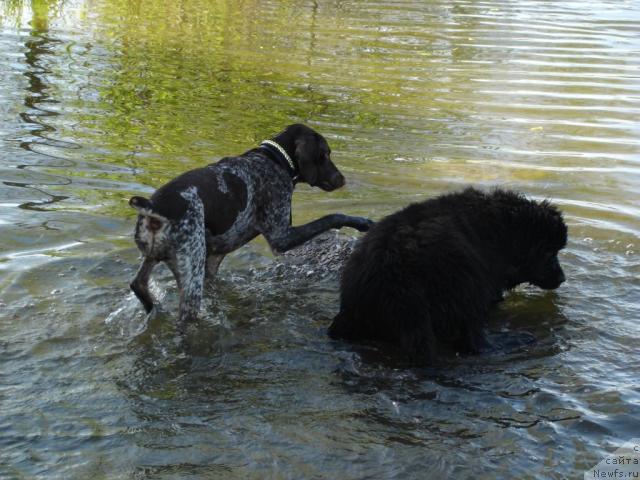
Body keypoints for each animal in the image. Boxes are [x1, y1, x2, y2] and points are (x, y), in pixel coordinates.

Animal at [127, 122, 372, 328]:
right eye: (325, 153)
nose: (342, 179)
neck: (274, 160)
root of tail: (153, 207)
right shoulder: (282, 237)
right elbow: (332, 217)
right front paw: (362, 222)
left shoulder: (214, 257)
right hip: (191, 277)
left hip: (155, 258)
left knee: (138, 284)